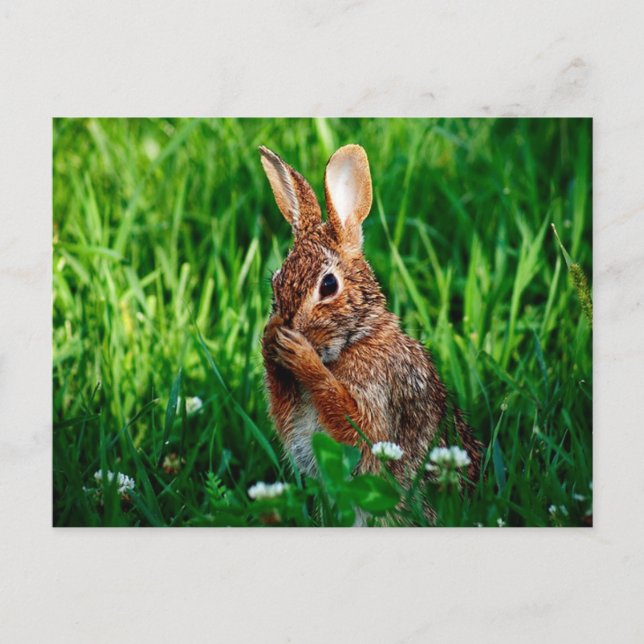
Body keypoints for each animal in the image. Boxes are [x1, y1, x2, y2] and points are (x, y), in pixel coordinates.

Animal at [259, 143, 482, 486]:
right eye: (276, 282)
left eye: (328, 285)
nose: (289, 327)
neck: (357, 338)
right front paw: (271, 337)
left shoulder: (379, 401)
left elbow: (355, 423)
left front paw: (299, 354)